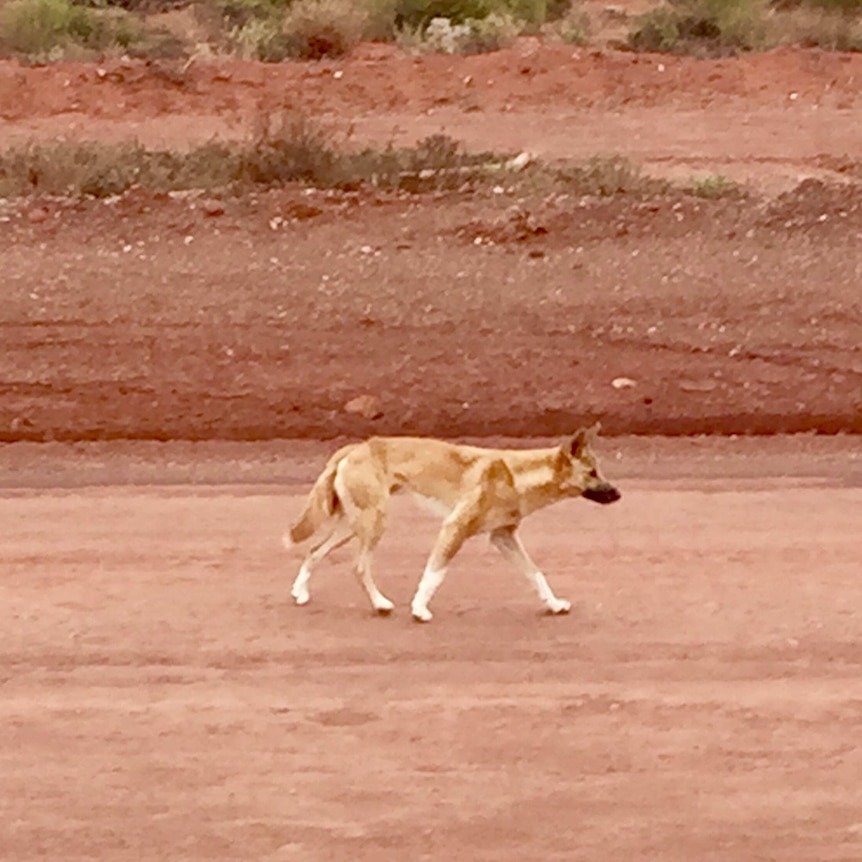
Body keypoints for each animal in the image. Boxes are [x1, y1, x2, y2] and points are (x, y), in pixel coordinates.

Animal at [288, 424, 620, 620]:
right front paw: (419, 609)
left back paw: (300, 592)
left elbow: (536, 574)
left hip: (351, 525)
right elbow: (433, 575)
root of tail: (355, 447)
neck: (516, 477)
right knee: (357, 566)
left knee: (314, 550)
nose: (618, 494)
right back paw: (380, 604)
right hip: (373, 523)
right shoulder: (454, 528)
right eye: (592, 473)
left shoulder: (503, 537)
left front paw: (553, 604)